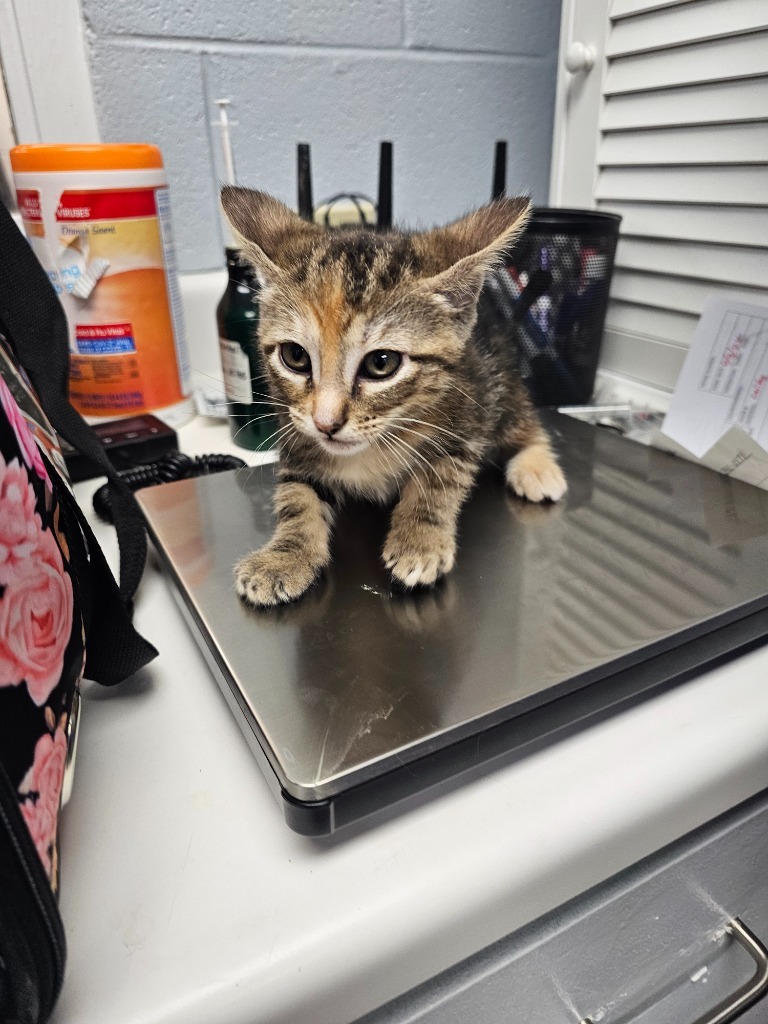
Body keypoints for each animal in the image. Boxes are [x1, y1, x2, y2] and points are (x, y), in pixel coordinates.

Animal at [219, 186, 569, 606]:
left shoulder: (466, 422)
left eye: (381, 363)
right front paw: (283, 557)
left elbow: (436, 482)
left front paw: (419, 541)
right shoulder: (296, 435)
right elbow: (297, 496)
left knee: (525, 420)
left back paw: (537, 467)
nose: (326, 423)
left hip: (498, 383)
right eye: (295, 357)